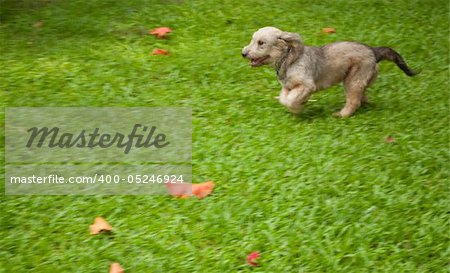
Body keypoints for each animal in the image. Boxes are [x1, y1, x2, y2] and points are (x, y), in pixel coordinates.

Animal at [243, 26, 418, 117]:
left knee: (353, 101)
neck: (290, 59)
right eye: (252, 40)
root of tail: (373, 51)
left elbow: (291, 100)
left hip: (352, 80)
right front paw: (300, 104)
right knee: (362, 96)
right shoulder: (288, 87)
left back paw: (342, 115)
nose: (243, 53)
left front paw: (298, 108)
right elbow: (284, 99)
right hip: (359, 80)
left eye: (261, 43)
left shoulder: (307, 85)